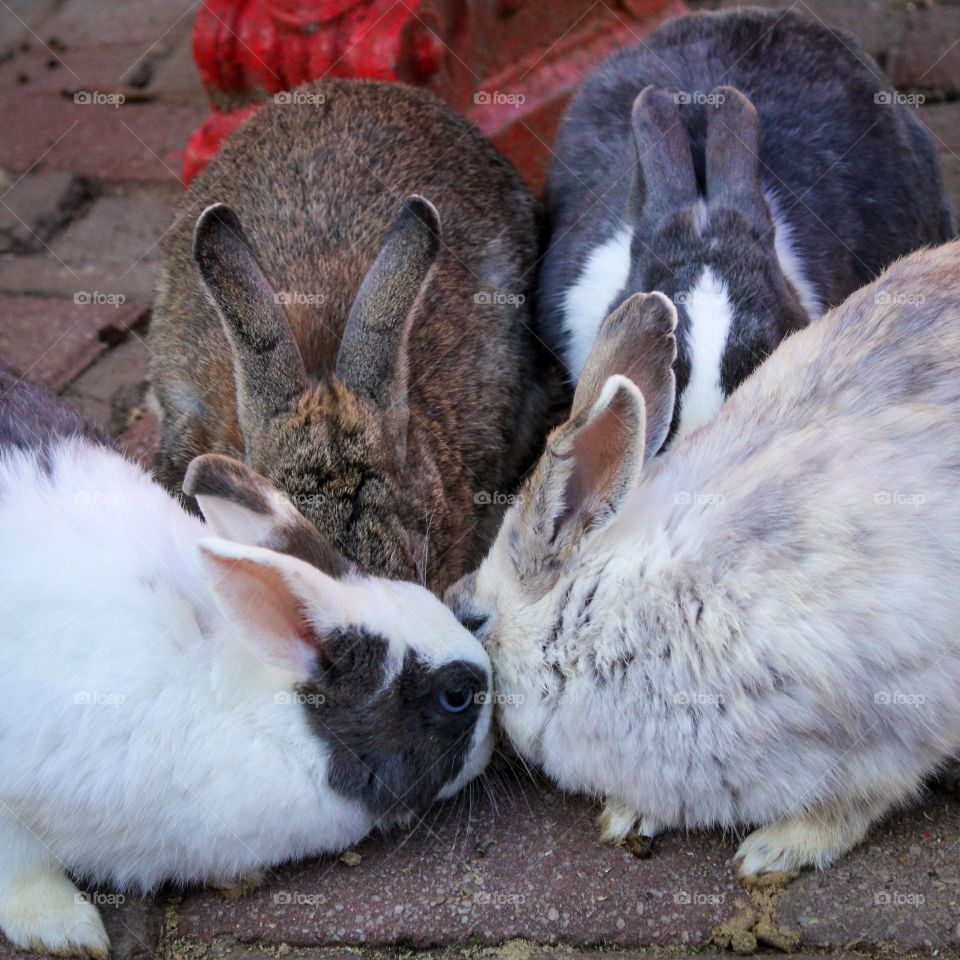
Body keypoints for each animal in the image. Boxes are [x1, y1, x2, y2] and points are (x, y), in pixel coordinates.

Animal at [450, 242, 960, 876]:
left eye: (474, 621)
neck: (603, 617)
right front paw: (630, 816)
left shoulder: (894, 722)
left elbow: (858, 802)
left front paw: (772, 851)